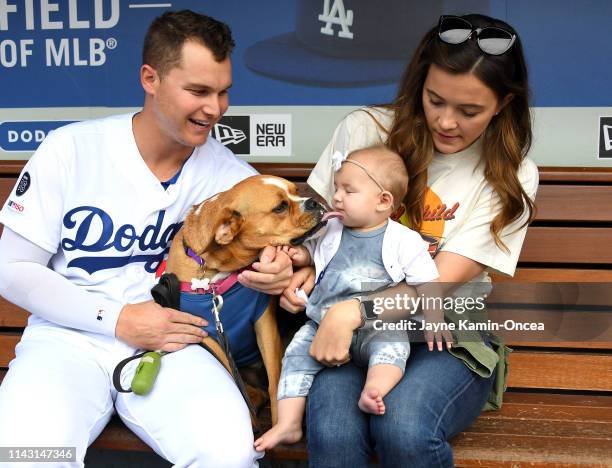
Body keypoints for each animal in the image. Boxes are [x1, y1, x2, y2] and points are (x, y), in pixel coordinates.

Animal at [163, 176, 326, 424]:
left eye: (296, 190)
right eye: (280, 207)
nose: (314, 202)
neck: (215, 275)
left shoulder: (264, 324)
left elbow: (274, 383)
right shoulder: (211, 338)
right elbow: (234, 383)